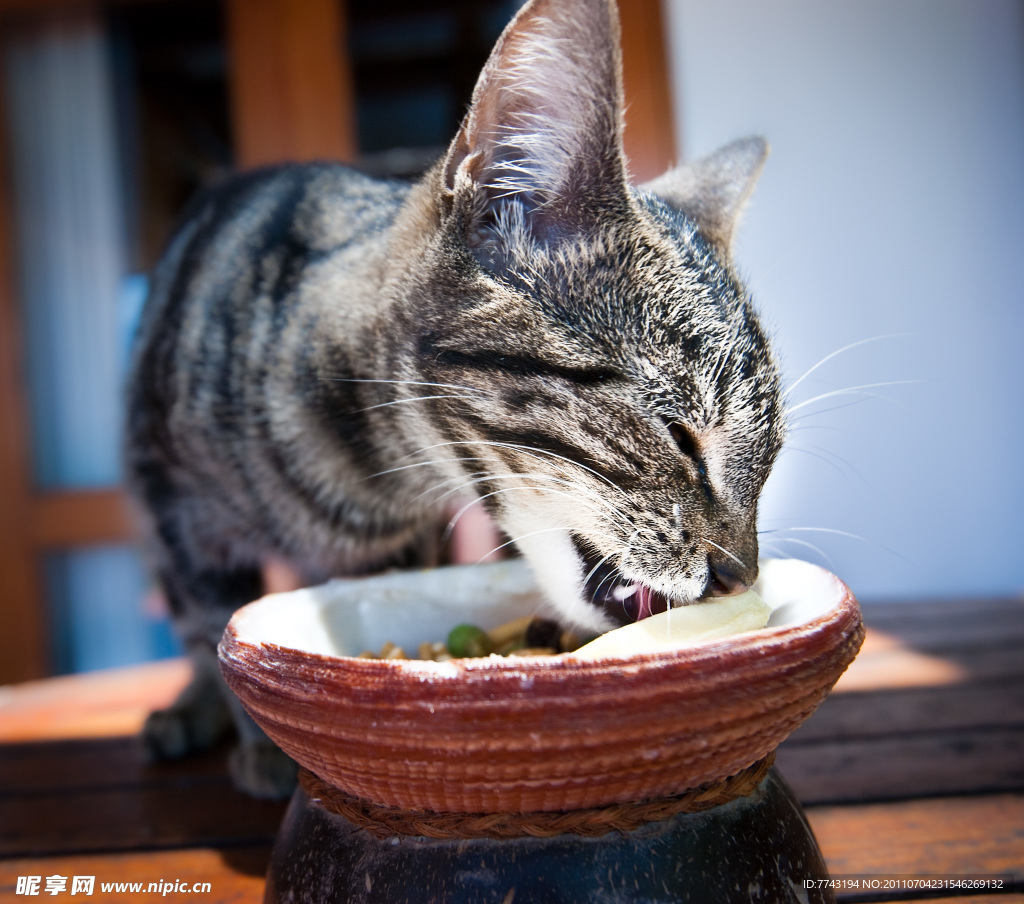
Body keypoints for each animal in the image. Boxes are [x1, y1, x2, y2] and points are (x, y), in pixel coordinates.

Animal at [125, 0, 782, 798]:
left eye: (771, 456)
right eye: (679, 433)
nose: (742, 574)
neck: (367, 472)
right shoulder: (177, 509)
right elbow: (207, 615)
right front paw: (252, 733)